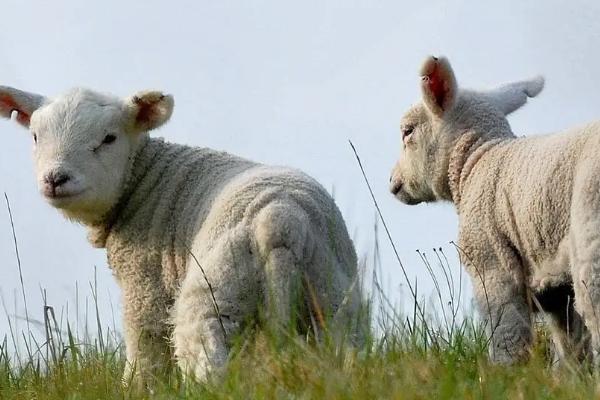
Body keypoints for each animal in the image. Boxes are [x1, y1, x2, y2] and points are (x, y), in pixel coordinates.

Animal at [0, 86, 360, 384]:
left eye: (109, 138)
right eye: (35, 136)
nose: (55, 179)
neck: (144, 177)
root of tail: (281, 220)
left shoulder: (145, 288)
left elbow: (145, 361)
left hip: (216, 290)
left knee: (208, 363)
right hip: (333, 298)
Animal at [392, 56, 592, 366]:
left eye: (407, 131)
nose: (393, 183)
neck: (475, 159)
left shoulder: (492, 267)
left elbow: (507, 338)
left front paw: (507, 373)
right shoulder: (552, 283)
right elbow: (571, 344)